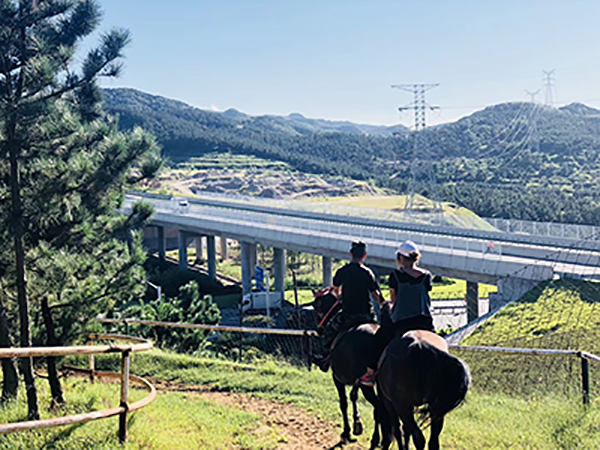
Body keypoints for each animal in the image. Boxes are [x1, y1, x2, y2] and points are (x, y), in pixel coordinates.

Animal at [312, 288, 386, 450]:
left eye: (315, 306)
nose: (319, 329)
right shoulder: (356, 381)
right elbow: (353, 396)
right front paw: (357, 423)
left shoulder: (338, 378)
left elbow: (344, 403)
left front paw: (346, 432)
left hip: (368, 386)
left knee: (379, 408)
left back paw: (376, 440)